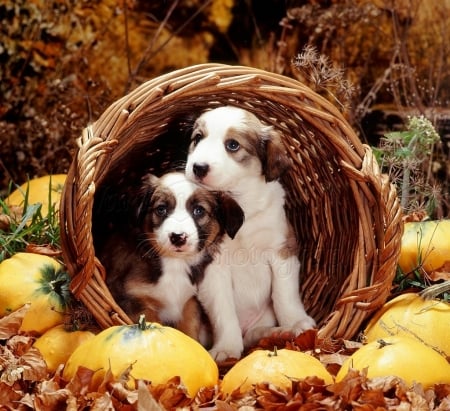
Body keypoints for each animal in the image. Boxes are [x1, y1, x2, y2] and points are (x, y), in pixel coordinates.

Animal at [98, 171, 244, 342]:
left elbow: (189, 331)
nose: (178, 237)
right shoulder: (128, 298)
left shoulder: (190, 302)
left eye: (199, 210)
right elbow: (151, 321)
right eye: (161, 209)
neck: (175, 264)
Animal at [185, 105, 314, 360]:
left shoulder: (282, 250)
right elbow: (224, 312)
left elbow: (285, 296)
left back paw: (277, 333)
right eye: (197, 138)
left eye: (233, 145)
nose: (198, 167)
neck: (242, 205)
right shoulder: (213, 267)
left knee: (257, 333)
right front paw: (226, 348)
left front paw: (296, 323)